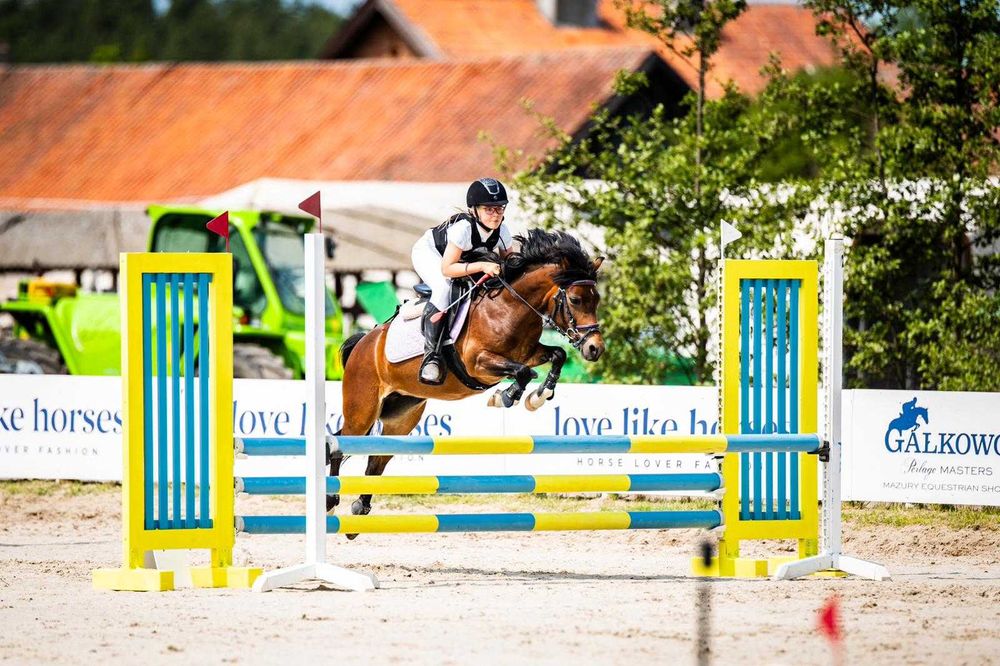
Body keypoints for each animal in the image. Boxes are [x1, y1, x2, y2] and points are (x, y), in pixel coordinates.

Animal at [329, 229, 605, 525]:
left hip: (401, 414)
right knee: (340, 444)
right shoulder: (478, 363)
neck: (509, 308)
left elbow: (557, 355)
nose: (595, 348)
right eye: (575, 300)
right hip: (362, 409)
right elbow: (523, 372)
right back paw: (331, 501)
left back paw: (361, 508)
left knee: (377, 459)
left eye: (597, 300)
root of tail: (363, 342)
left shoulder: (529, 353)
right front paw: (506, 396)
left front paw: (540, 395)